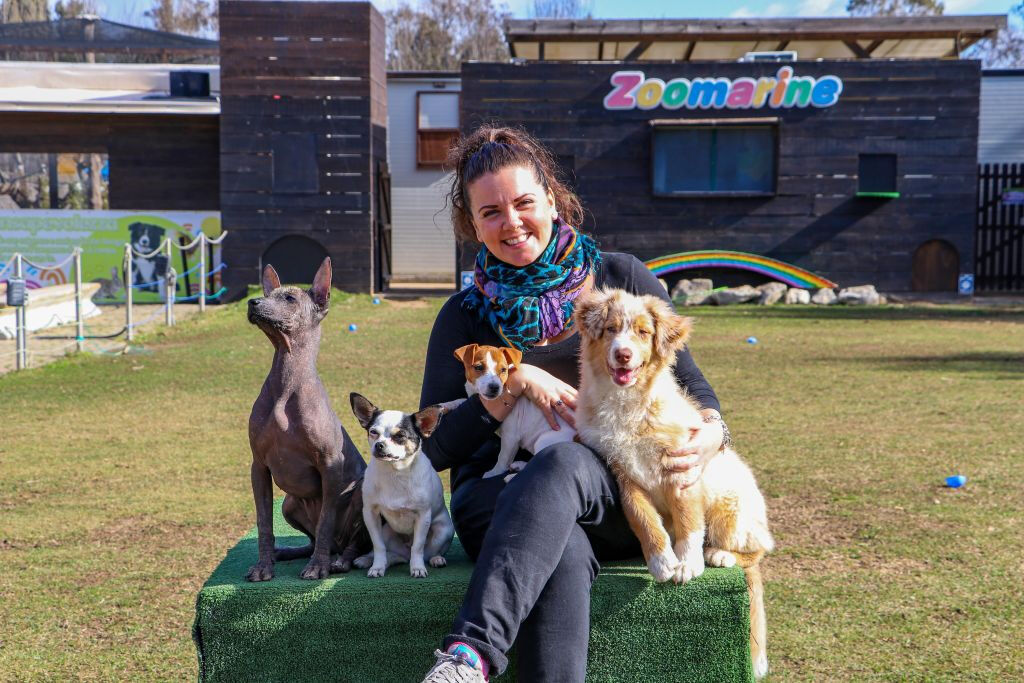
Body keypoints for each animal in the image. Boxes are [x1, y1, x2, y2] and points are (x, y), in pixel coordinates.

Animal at [243, 259, 368, 581]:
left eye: (289, 298)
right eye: (268, 293)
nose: (252, 302)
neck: (286, 382)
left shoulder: (330, 465)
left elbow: (326, 520)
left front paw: (318, 566)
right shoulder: (258, 467)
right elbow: (264, 523)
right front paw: (264, 565)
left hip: (363, 492)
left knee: (352, 542)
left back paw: (338, 560)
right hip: (288, 504)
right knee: (311, 539)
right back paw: (289, 552)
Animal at [348, 393, 452, 581]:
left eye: (400, 436)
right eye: (373, 432)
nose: (379, 445)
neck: (395, 473)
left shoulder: (423, 516)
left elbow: (418, 547)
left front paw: (417, 568)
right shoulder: (370, 514)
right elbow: (378, 546)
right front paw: (377, 567)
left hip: (443, 531)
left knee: (425, 552)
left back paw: (436, 559)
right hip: (386, 531)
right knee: (392, 554)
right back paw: (368, 560)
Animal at [446, 342, 581, 481]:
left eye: (503, 370)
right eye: (479, 367)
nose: (494, 387)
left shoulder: (510, 437)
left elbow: (502, 458)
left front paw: (493, 473)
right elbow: (462, 400)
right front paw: (447, 405)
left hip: (544, 440)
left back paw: (512, 477)